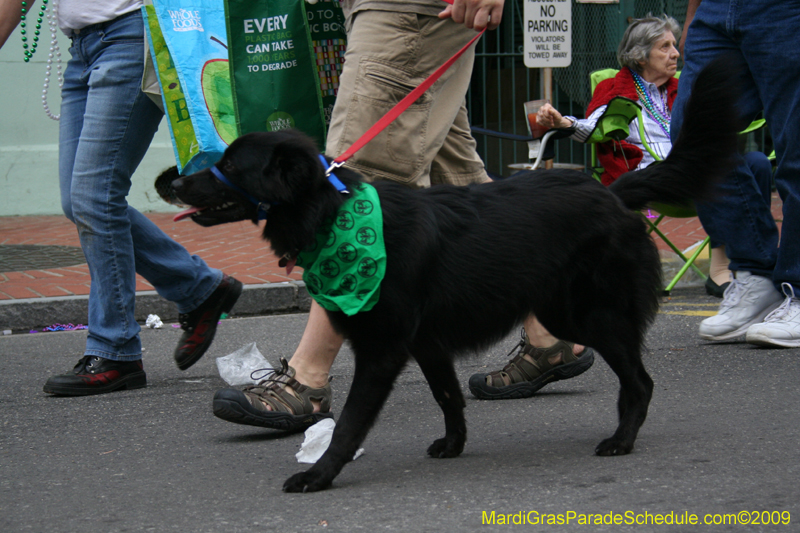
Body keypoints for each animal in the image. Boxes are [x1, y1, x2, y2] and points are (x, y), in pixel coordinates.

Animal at [173, 57, 736, 490]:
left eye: (231, 164)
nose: (172, 183)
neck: (334, 216)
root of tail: (613, 194)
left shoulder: (382, 351)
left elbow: (350, 422)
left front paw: (320, 474)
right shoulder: (427, 344)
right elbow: (449, 398)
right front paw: (454, 443)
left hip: (592, 314)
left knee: (640, 380)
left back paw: (622, 439)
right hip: (564, 311)